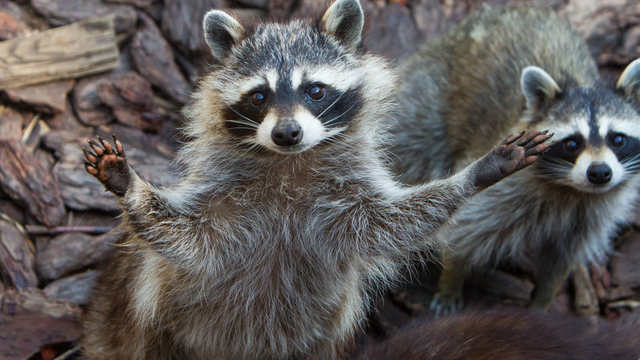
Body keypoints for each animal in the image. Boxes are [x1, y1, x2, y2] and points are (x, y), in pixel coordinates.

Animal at [79, 1, 552, 358]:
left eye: (315, 90)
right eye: (259, 96)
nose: (287, 133)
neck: (290, 164)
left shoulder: (347, 202)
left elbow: (395, 221)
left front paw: (476, 175)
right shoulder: (223, 202)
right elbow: (183, 235)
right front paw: (129, 185)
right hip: (136, 325)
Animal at [388, 4, 640, 316]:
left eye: (617, 139)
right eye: (572, 143)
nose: (600, 173)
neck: (572, 190)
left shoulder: (590, 215)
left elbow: (562, 259)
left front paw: (543, 301)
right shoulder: (505, 184)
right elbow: (467, 229)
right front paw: (451, 279)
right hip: (426, 96)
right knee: (412, 143)